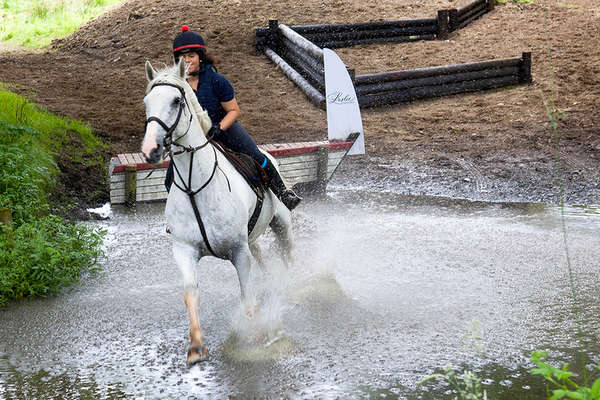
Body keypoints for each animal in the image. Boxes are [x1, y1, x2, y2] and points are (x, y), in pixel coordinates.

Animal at [139, 57, 292, 368]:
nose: (150, 149)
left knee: (290, 249)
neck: (196, 186)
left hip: (282, 221)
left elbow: (247, 298)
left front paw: (254, 340)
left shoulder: (238, 252)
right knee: (265, 257)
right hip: (253, 237)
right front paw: (196, 346)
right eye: (147, 102)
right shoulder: (184, 250)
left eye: (176, 101)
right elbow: (191, 294)